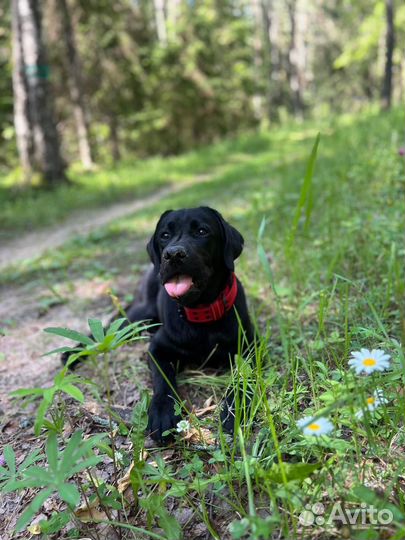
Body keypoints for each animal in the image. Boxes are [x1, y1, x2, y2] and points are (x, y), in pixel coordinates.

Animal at [63, 207, 252, 442]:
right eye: (164, 235)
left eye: (202, 231)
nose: (173, 254)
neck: (200, 312)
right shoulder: (157, 348)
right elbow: (163, 379)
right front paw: (163, 411)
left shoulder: (250, 348)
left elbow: (243, 379)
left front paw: (234, 410)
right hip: (138, 315)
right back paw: (71, 353)